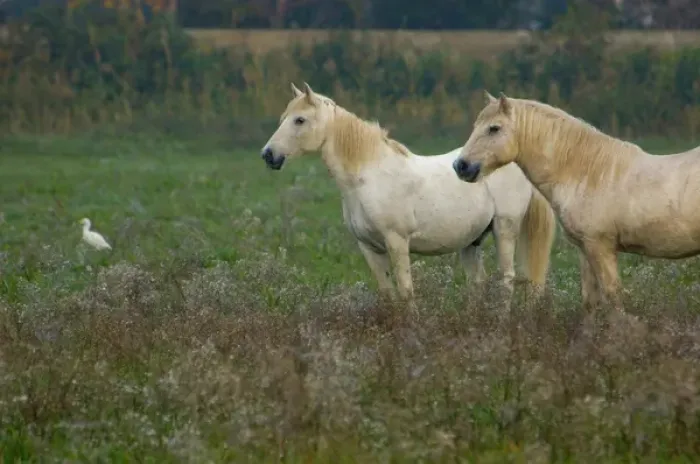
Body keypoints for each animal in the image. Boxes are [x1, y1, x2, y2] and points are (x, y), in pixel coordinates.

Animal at [261, 82, 557, 310]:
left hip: (505, 229)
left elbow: (405, 292)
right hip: (472, 241)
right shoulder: (369, 248)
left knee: (506, 280)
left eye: (300, 120)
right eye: (283, 118)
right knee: (478, 283)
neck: (368, 177)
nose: (268, 155)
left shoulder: (397, 242)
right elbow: (388, 294)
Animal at [453, 91, 700, 314]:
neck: (590, 172)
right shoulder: (585, 249)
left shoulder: (600, 248)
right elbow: (591, 302)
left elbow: (614, 299)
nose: (461, 166)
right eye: (476, 125)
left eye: (494, 128)